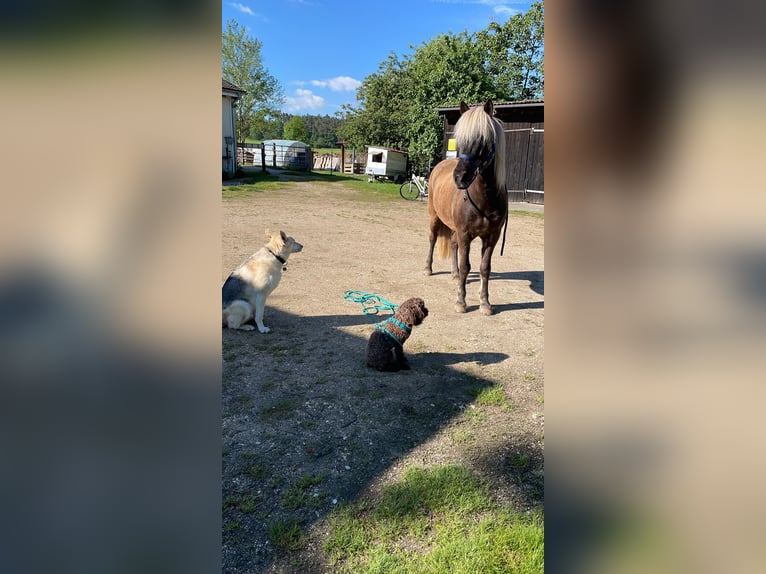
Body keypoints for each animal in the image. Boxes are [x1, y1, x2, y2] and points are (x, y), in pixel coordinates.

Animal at [426, 99, 510, 316]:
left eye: (484, 140)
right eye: (461, 140)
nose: (459, 178)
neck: (485, 198)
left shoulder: (491, 237)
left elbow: (484, 268)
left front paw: (485, 303)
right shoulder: (466, 234)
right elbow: (466, 266)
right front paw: (461, 302)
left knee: (453, 244)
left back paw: (454, 275)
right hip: (434, 217)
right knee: (432, 239)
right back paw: (428, 268)